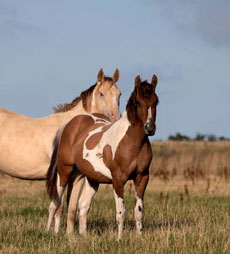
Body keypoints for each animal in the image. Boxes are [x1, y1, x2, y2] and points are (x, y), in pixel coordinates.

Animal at [46, 74, 159, 239]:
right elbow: (121, 212)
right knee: (55, 203)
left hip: (89, 178)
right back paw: (50, 232)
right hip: (64, 172)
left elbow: (138, 212)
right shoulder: (118, 180)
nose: (150, 128)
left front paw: (140, 237)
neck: (131, 142)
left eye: (156, 101)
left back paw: (84, 236)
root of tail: (70, 124)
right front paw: (119, 239)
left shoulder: (142, 177)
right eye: (138, 102)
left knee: (83, 205)